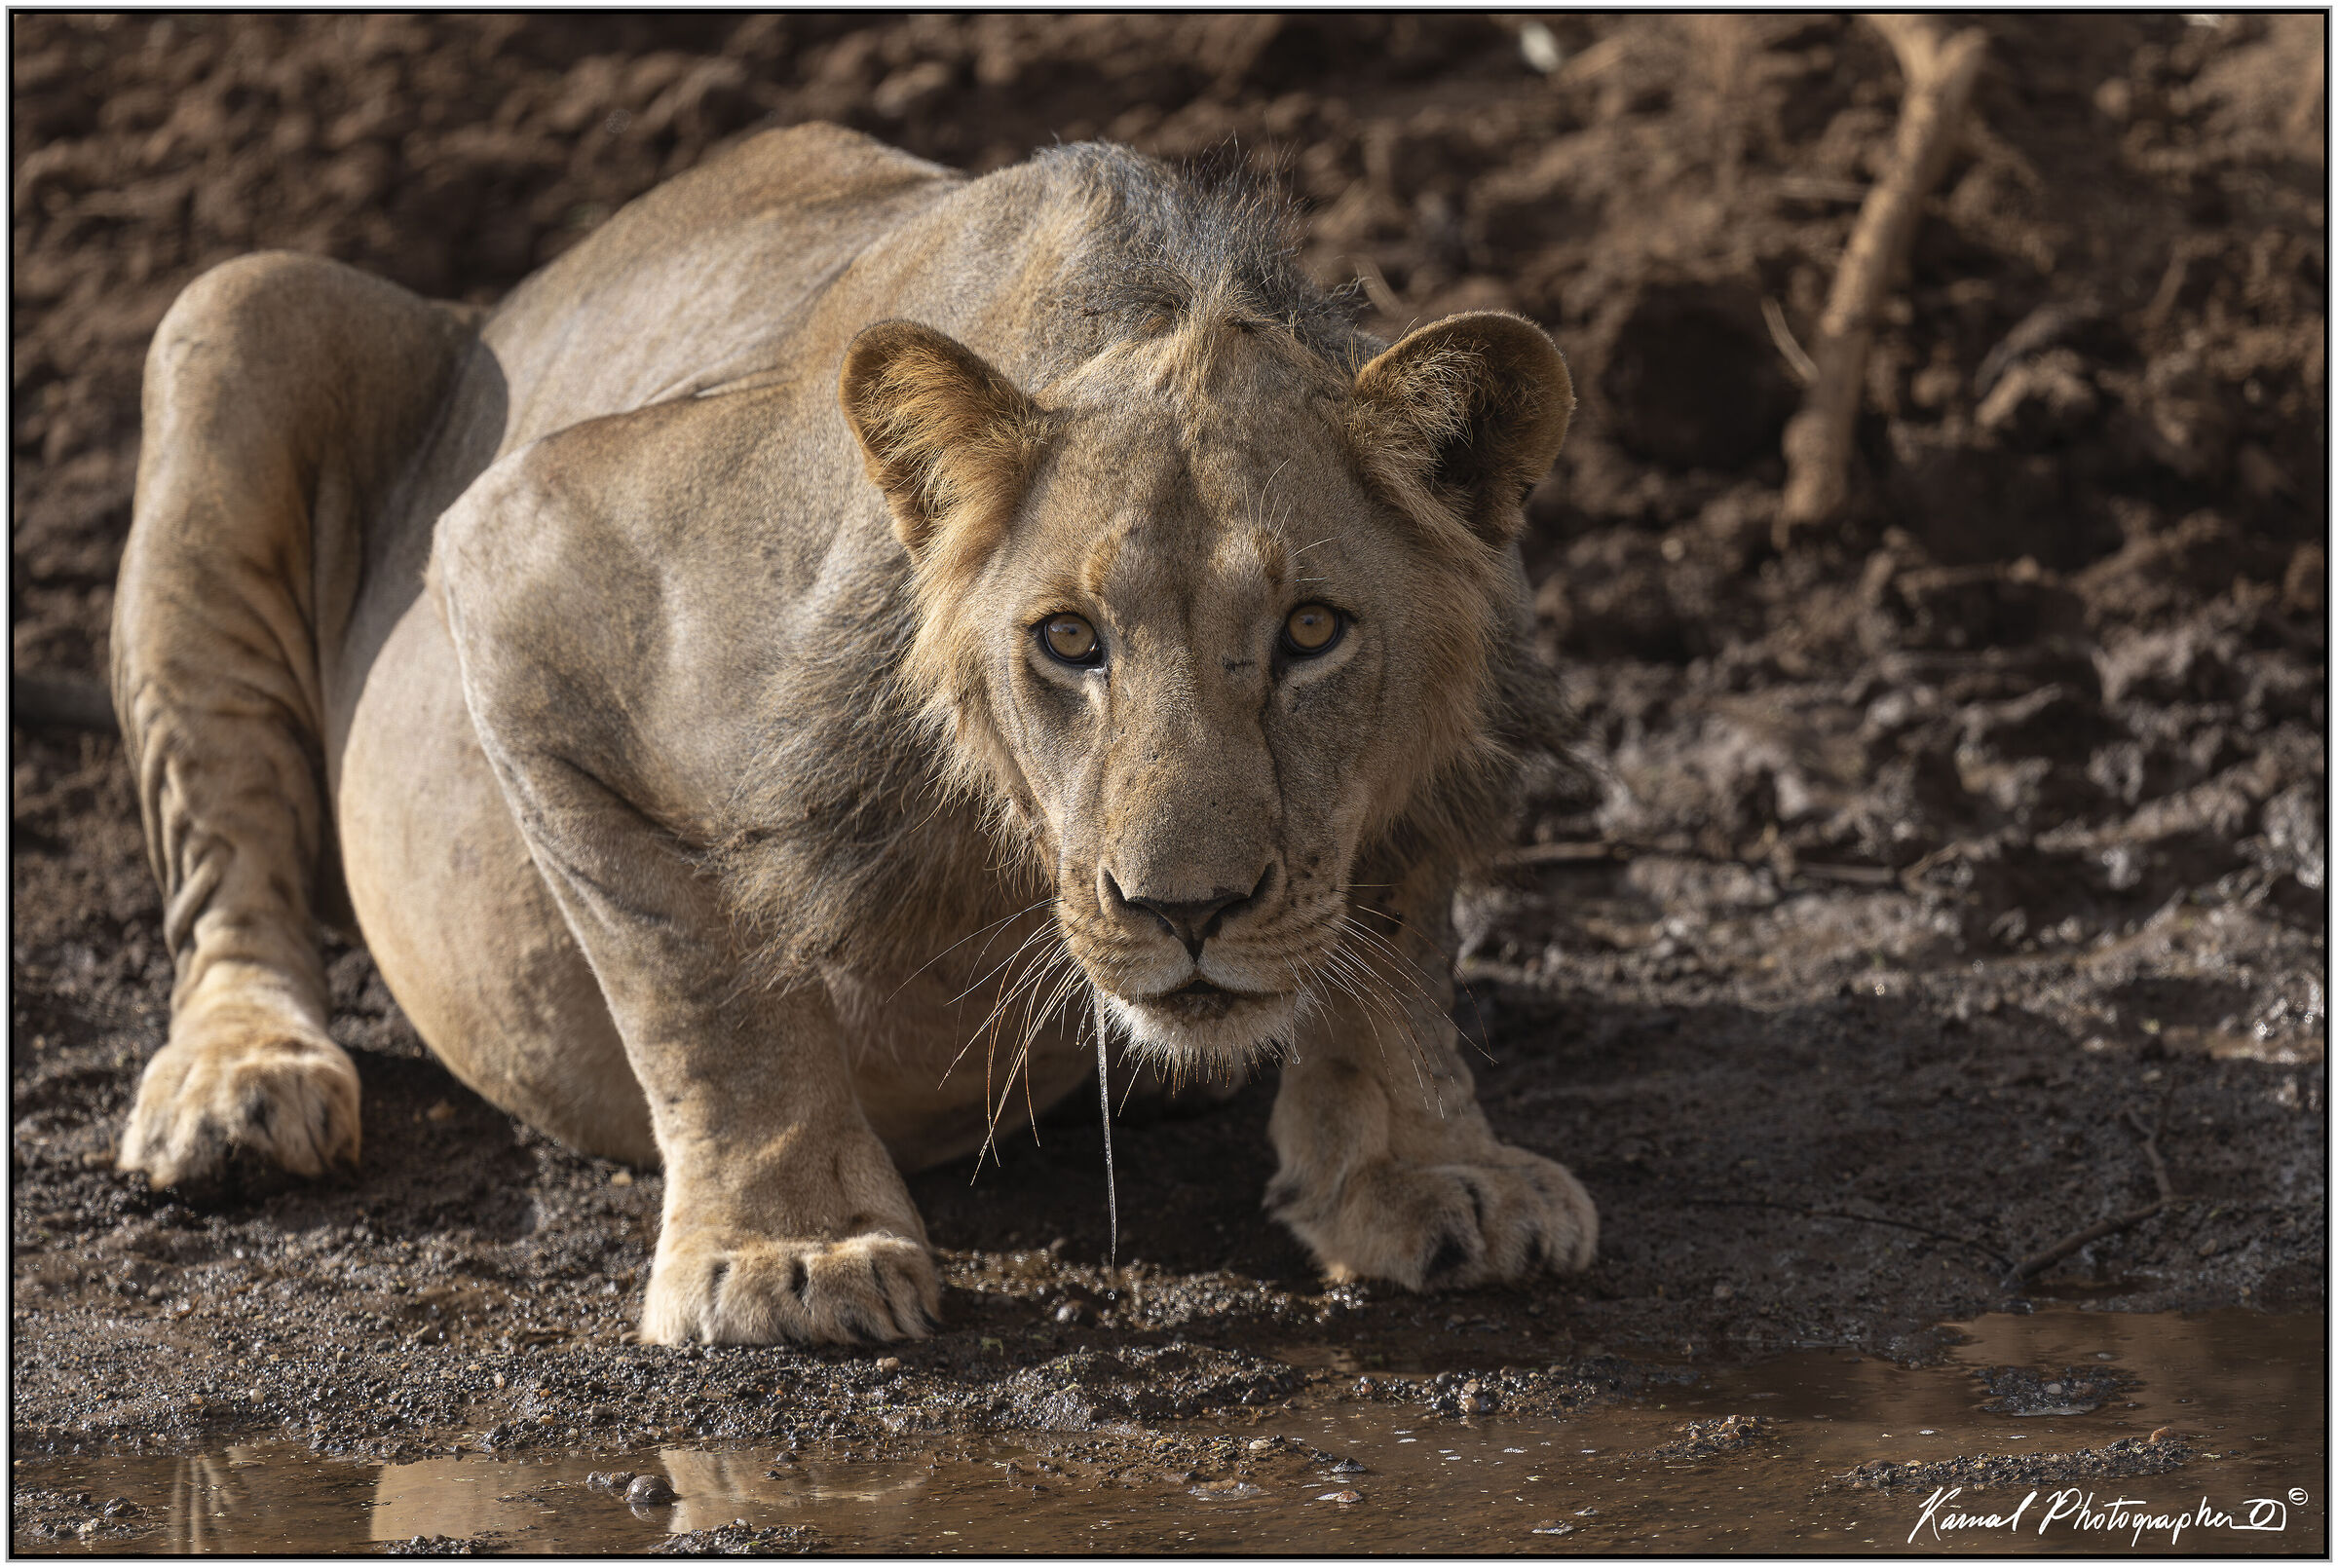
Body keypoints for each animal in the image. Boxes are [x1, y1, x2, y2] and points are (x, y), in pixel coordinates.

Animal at [110, 124, 1597, 1346]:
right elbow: (699, 969)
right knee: (224, 871)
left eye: (1312, 632)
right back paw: (240, 1085)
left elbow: (1395, 930)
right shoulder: (523, 547)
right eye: (1070, 641)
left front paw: (1427, 1167)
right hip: (234, 309)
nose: (1187, 910)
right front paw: (790, 1255)